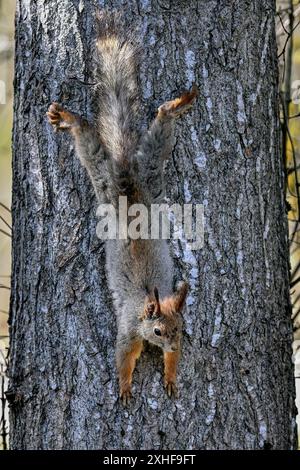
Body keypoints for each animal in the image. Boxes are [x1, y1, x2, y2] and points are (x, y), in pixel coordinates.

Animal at [46, 11, 197, 404]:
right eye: (158, 331)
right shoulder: (128, 331)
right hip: (105, 183)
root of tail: (129, 188)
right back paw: (68, 119)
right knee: (90, 147)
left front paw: (171, 375)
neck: (145, 305)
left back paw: (178, 103)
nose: (171, 345)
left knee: (160, 128)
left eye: (180, 327)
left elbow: (171, 364)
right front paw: (126, 387)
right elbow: (123, 358)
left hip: (153, 175)